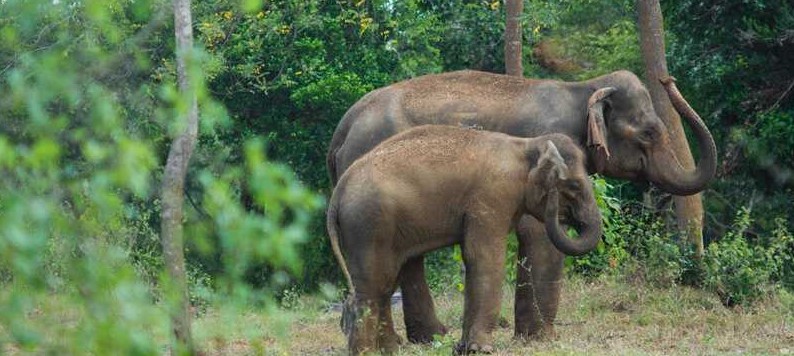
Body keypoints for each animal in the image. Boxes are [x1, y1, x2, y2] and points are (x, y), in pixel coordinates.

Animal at [324, 125, 600, 354]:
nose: (558, 205)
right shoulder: (491, 197)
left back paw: (388, 350)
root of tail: (337, 193)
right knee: (373, 284)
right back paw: (366, 352)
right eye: (574, 186)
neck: (525, 146)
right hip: (369, 225)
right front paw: (481, 349)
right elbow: (483, 256)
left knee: (384, 282)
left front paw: (464, 347)